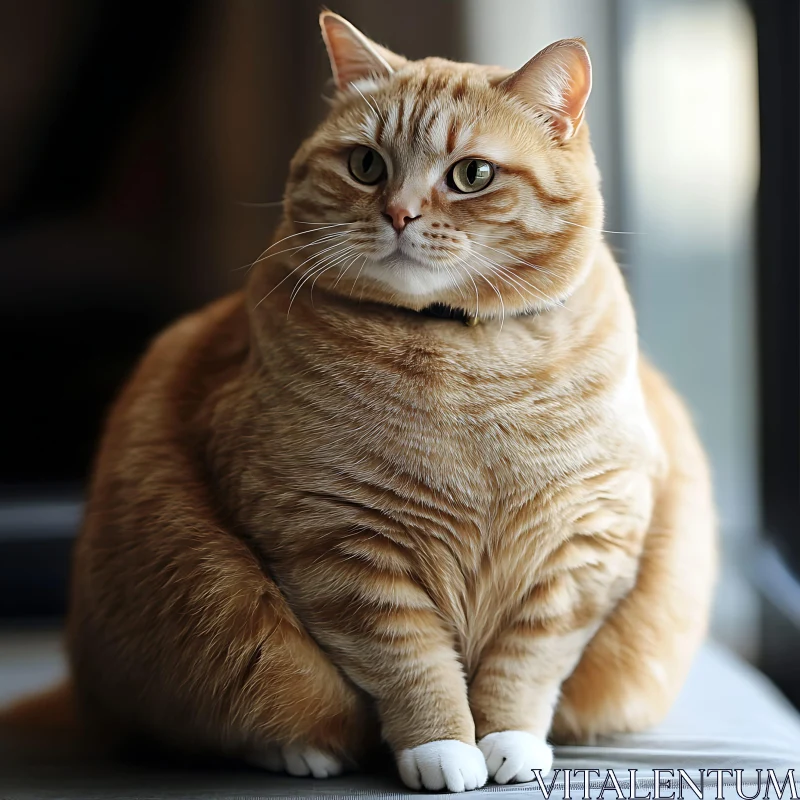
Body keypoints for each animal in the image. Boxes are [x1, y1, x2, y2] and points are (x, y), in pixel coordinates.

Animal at [61, 12, 720, 792]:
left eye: (472, 175)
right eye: (366, 166)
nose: (400, 213)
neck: (465, 358)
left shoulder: (582, 545)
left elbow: (529, 659)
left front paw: (512, 740)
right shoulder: (343, 544)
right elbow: (411, 662)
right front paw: (442, 749)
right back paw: (301, 751)